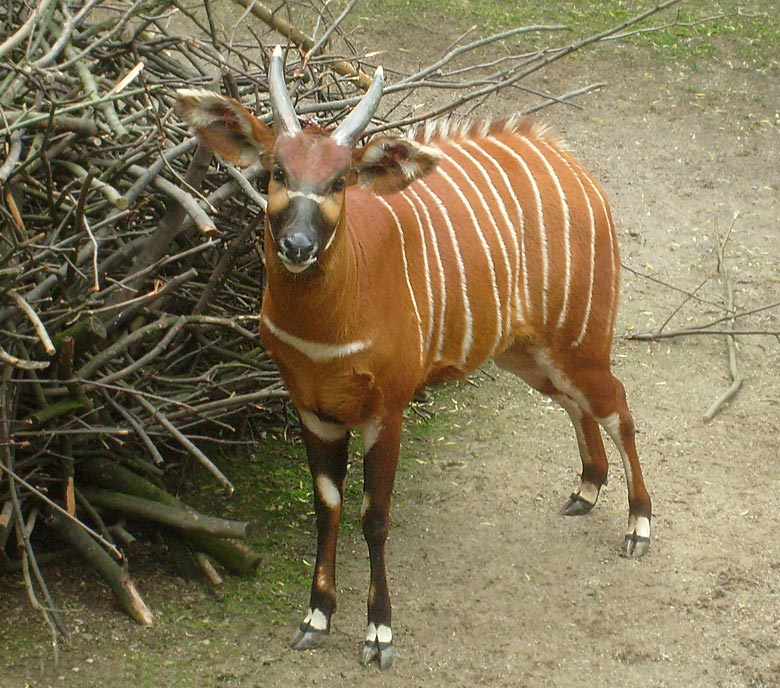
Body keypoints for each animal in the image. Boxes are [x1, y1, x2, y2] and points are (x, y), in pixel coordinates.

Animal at [177, 47, 652, 672]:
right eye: (278, 171)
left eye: (339, 180)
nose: (298, 246)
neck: (326, 327)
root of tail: (573, 166)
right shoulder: (313, 410)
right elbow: (326, 506)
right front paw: (316, 618)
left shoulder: (388, 410)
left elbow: (374, 517)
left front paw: (379, 633)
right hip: (526, 352)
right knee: (577, 404)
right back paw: (587, 490)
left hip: (581, 339)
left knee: (617, 405)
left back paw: (639, 525)